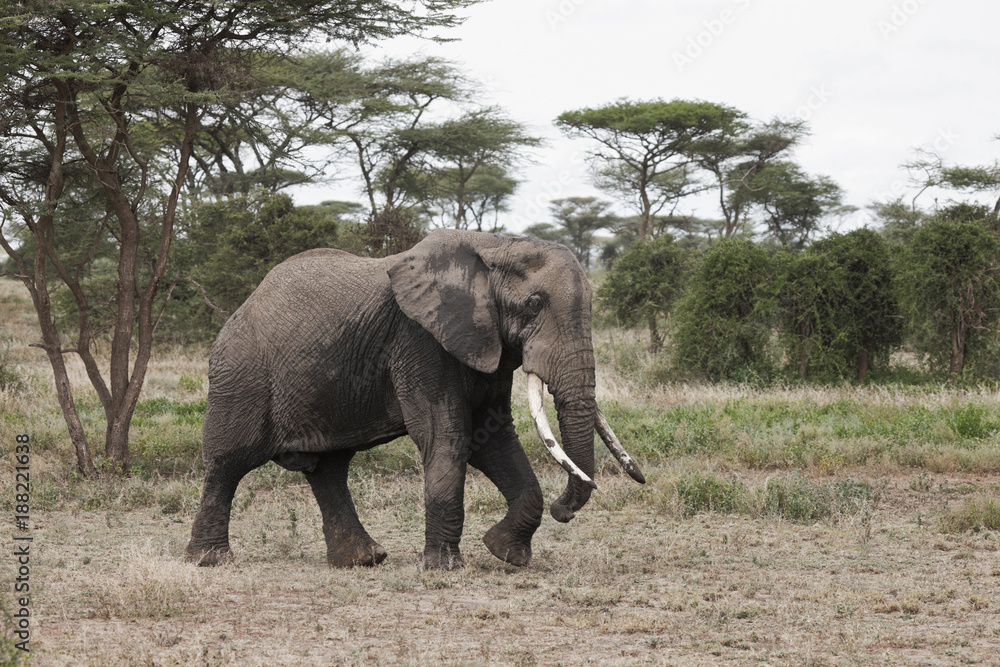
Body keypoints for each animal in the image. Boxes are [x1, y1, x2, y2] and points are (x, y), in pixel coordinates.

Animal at [185, 229, 644, 570]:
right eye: (534, 304)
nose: (563, 510)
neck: (495, 245)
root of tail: (241, 307)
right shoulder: (419, 339)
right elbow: (448, 436)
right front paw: (445, 567)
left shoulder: (484, 343)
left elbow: (491, 438)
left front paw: (505, 553)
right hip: (240, 374)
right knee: (228, 460)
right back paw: (210, 560)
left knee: (328, 469)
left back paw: (363, 560)